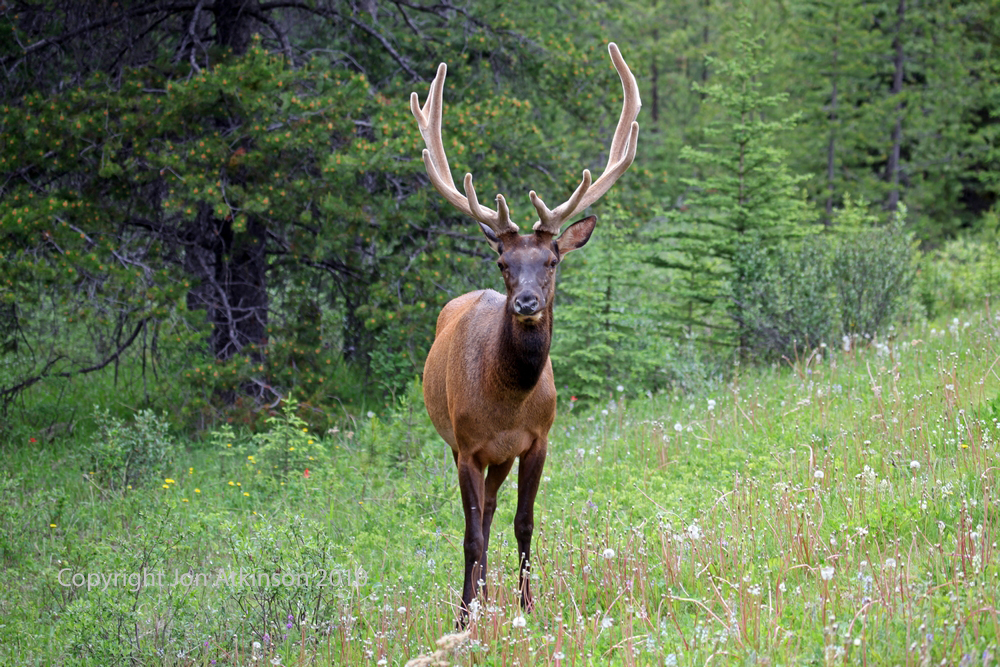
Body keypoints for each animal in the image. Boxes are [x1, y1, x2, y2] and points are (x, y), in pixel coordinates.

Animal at [410, 42, 640, 624]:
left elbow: (523, 523)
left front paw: (526, 607)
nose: (527, 302)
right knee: (478, 521)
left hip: (502, 458)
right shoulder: (468, 447)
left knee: (493, 511)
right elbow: (470, 534)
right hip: (463, 448)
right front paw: (464, 615)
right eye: (503, 262)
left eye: (551, 260)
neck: (508, 401)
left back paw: (490, 595)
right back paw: (476, 597)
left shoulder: (537, 441)